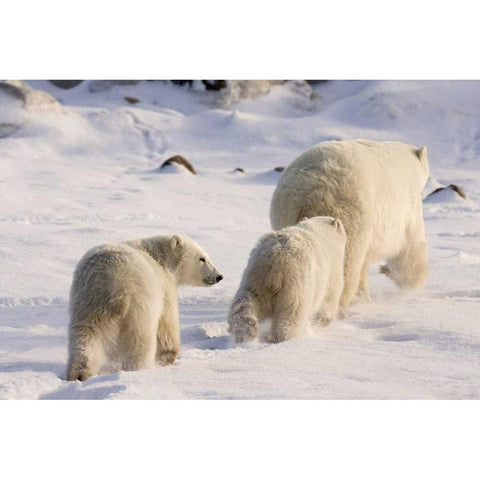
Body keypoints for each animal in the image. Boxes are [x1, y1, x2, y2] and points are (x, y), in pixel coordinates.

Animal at [66, 234, 223, 380]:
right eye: (202, 258)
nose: (219, 276)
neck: (160, 257)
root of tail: (112, 282)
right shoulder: (164, 287)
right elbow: (167, 322)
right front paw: (168, 356)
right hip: (139, 303)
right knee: (140, 339)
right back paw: (139, 369)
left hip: (87, 301)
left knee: (86, 335)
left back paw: (80, 374)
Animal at [228, 216, 344, 344]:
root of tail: (276, 259)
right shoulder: (332, 268)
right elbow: (331, 295)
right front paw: (325, 321)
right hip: (295, 284)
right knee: (292, 312)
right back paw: (285, 337)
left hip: (254, 279)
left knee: (244, 303)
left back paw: (245, 333)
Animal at [270, 139, 432, 312]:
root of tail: (309, 194)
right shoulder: (406, 207)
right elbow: (409, 245)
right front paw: (410, 279)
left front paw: (364, 298)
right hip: (350, 215)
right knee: (346, 263)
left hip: (285, 213)